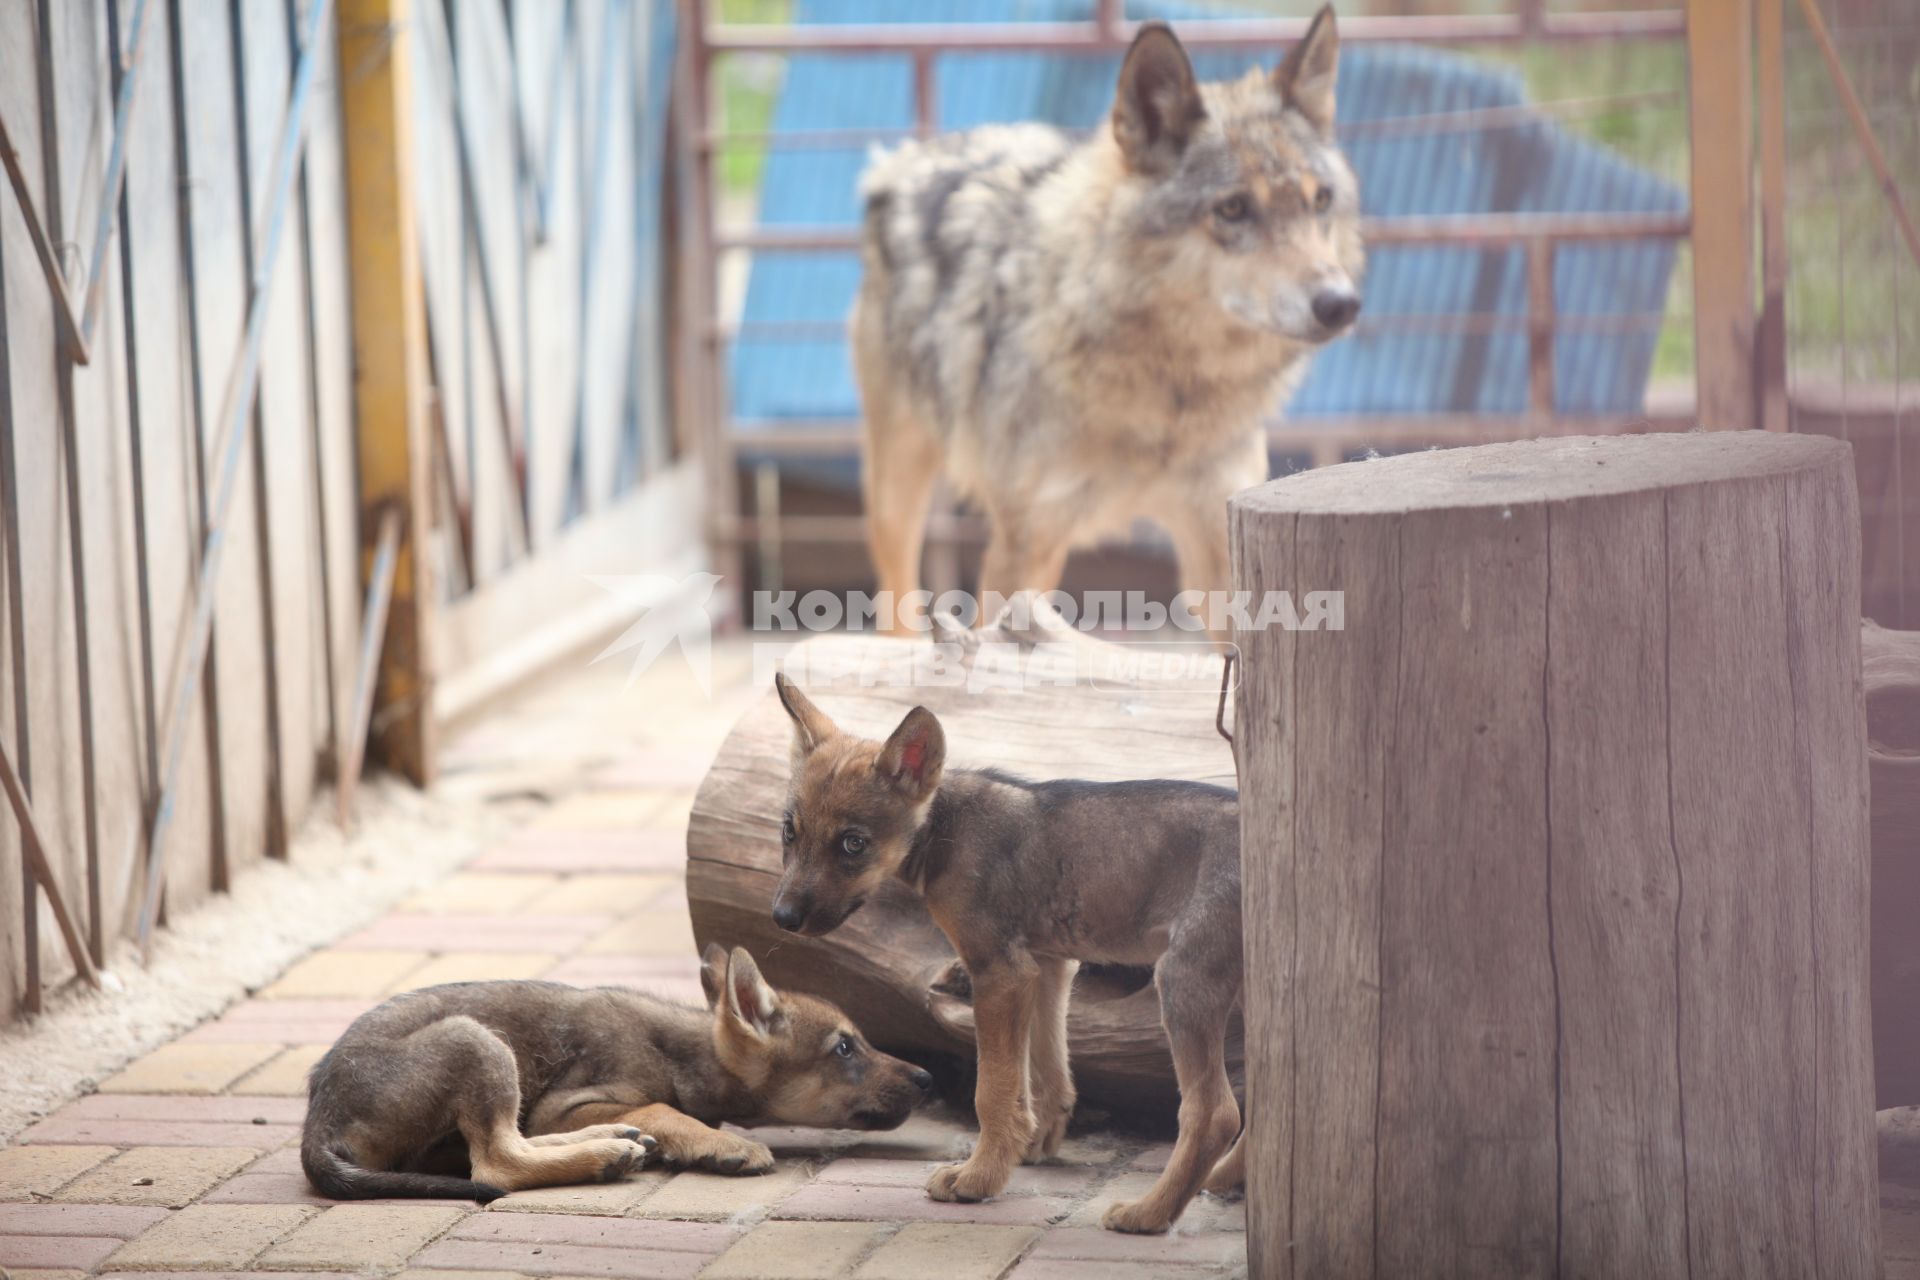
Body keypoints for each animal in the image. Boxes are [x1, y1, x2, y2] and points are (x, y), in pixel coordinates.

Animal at [848, 7, 1359, 629]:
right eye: (1234, 208)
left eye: (1320, 200)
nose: (1339, 302)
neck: (1171, 392)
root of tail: (911, 155)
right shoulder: (1024, 544)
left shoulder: (1221, 537)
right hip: (899, 492)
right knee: (896, 602)